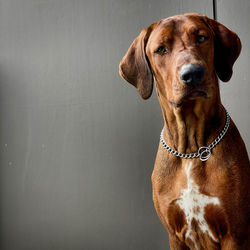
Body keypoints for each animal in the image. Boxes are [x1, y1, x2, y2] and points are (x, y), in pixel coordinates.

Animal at [118, 13, 250, 250]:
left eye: (202, 38)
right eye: (161, 49)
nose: (192, 73)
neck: (192, 149)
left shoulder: (234, 234)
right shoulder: (174, 235)